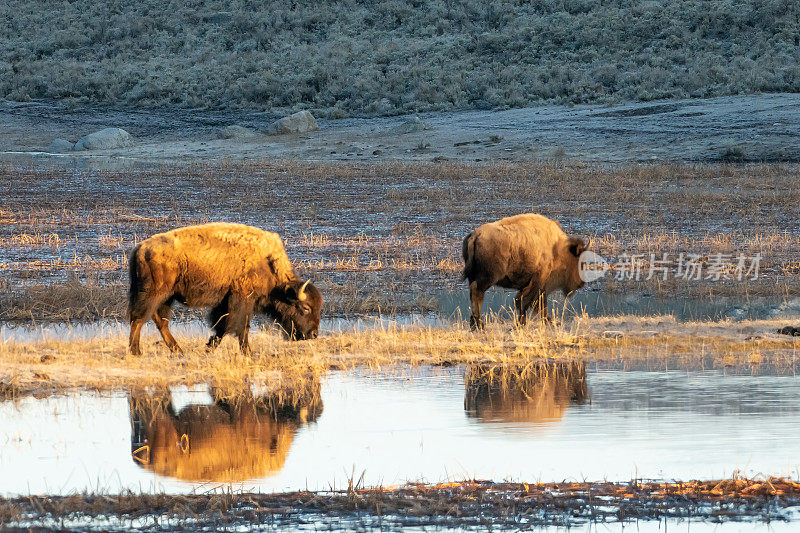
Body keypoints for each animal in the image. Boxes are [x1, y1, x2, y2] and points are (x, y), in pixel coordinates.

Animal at [128, 222, 322, 356]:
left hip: (166, 296)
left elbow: (222, 325)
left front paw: (209, 347)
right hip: (154, 293)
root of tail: (140, 248)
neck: (267, 262)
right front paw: (248, 353)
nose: (313, 334)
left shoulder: (226, 301)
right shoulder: (242, 299)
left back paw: (177, 350)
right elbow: (241, 326)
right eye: (305, 308)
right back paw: (136, 351)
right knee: (139, 318)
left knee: (159, 320)